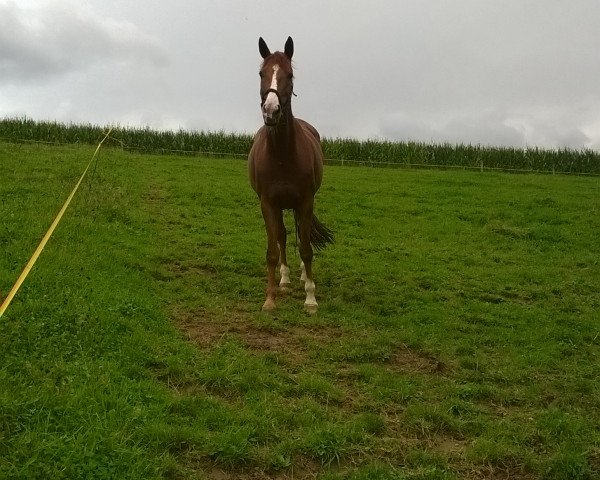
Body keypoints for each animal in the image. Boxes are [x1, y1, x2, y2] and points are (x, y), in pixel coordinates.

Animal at [247, 37, 332, 316]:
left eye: (290, 75)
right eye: (261, 73)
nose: (271, 111)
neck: (283, 155)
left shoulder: (305, 201)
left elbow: (306, 250)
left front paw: (310, 299)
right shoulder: (268, 204)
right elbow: (273, 251)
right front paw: (270, 299)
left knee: (298, 235)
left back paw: (305, 277)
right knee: (284, 236)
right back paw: (284, 280)